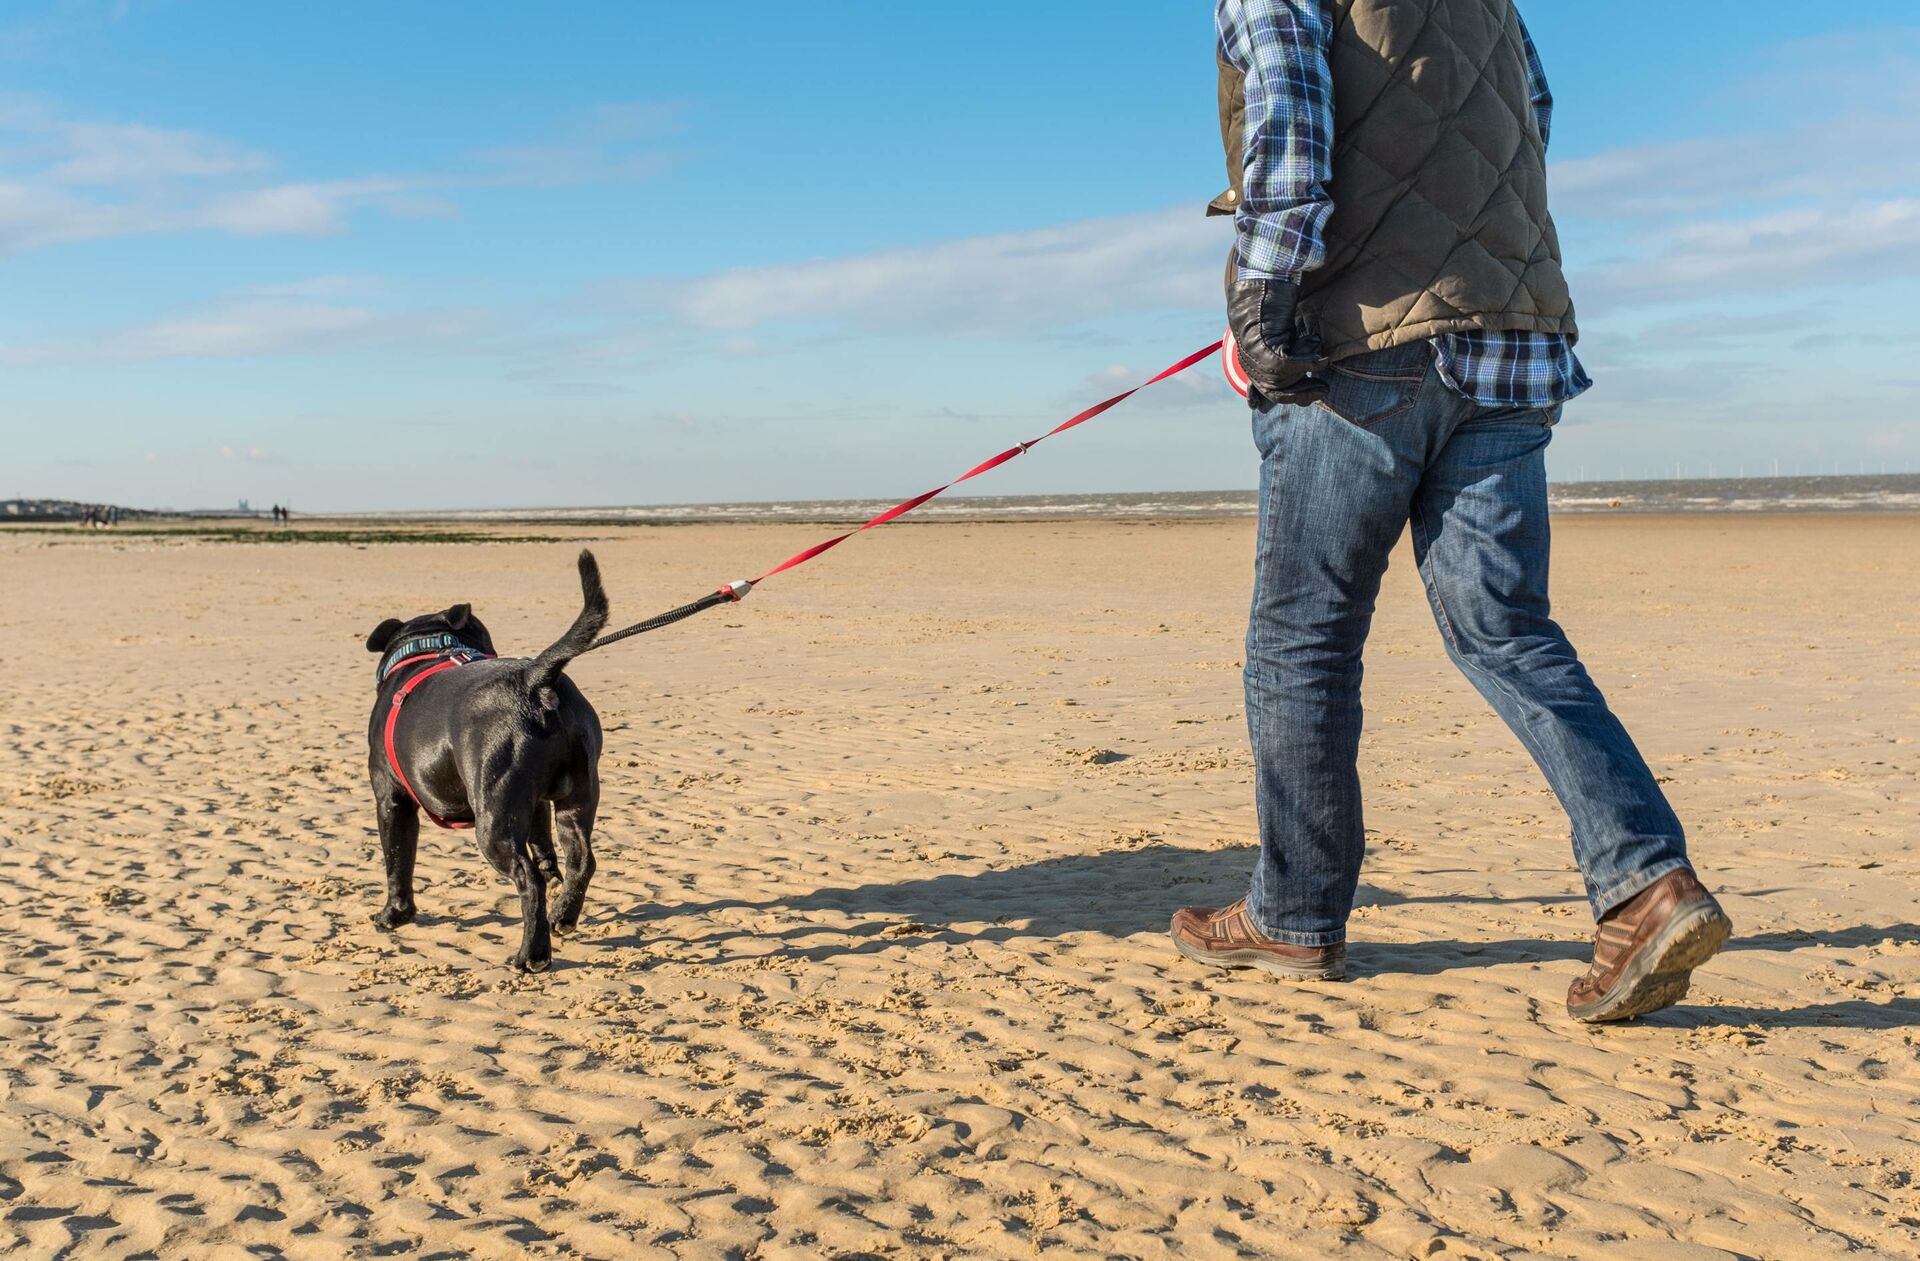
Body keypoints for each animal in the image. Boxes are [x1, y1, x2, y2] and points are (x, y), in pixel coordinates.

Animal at [359, 545, 599, 967]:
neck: (429, 648)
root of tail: (534, 679)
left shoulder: (391, 800)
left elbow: (397, 862)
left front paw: (393, 915)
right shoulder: (536, 805)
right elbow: (544, 847)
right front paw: (553, 876)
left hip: (493, 821)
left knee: (527, 878)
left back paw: (532, 954)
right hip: (576, 798)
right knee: (581, 860)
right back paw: (562, 916)